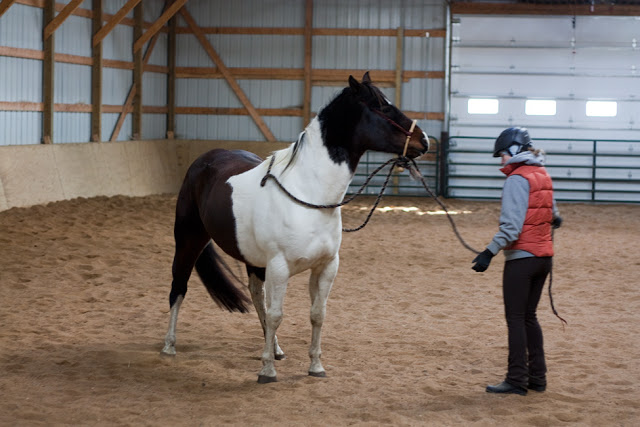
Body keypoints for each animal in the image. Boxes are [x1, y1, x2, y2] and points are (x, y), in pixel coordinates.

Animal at [161, 72, 429, 383]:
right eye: (382, 107)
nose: (424, 140)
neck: (309, 194)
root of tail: (204, 160)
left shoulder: (326, 266)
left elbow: (316, 314)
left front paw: (315, 366)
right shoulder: (279, 266)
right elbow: (278, 314)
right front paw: (267, 371)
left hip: (253, 260)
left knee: (257, 297)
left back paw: (275, 348)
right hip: (189, 241)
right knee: (179, 288)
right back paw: (169, 345)